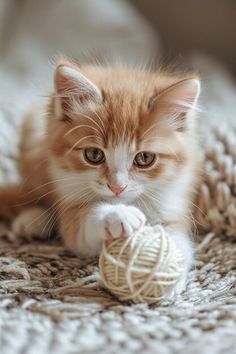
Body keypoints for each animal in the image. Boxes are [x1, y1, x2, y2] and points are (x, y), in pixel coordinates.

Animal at [0, 61, 202, 296]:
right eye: (94, 155)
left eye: (144, 158)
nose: (117, 187)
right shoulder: (69, 207)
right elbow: (85, 219)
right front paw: (117, 214)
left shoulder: (173, 206)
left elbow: (178, 241)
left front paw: (165, 273)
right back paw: (33, 220)